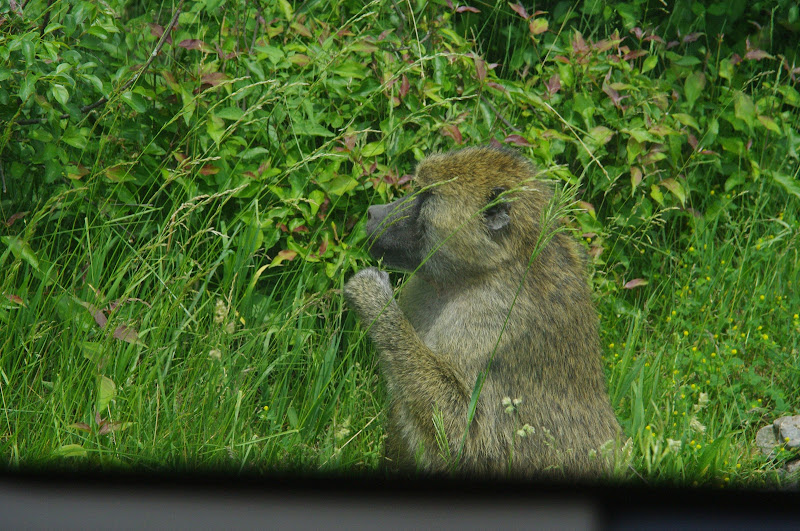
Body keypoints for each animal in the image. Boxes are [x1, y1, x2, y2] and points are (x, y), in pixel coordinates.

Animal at [344, 146, 622, 478]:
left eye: (426, 195)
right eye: (417, 187)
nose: (373, 213)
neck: (485, 268)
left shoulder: (492, 318)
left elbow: (464, 437)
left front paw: (370, 293)